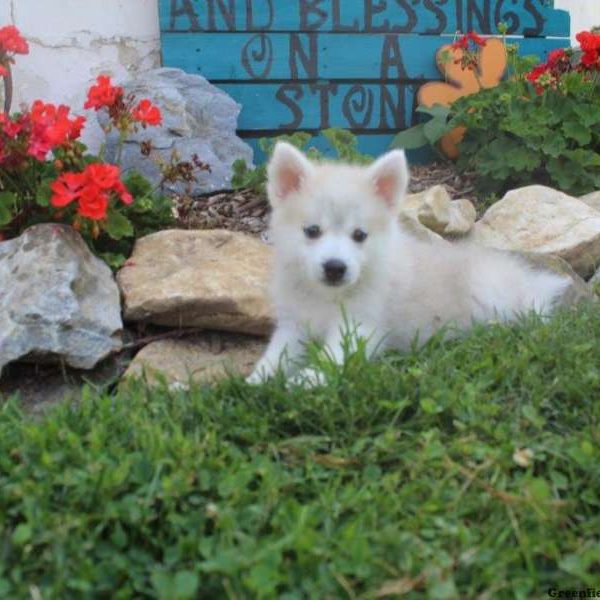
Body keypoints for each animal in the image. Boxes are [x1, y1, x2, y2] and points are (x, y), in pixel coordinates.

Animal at [246, 142, 568, 384]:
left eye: (359, 235)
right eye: (312, 231)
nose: (335, 267)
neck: (327, 297)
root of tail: (528, 281)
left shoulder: (358, 329)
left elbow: (328, 362)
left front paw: (300, 383)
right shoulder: (293, 326)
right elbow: (273, 358)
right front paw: (254, 383)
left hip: (490, 288)